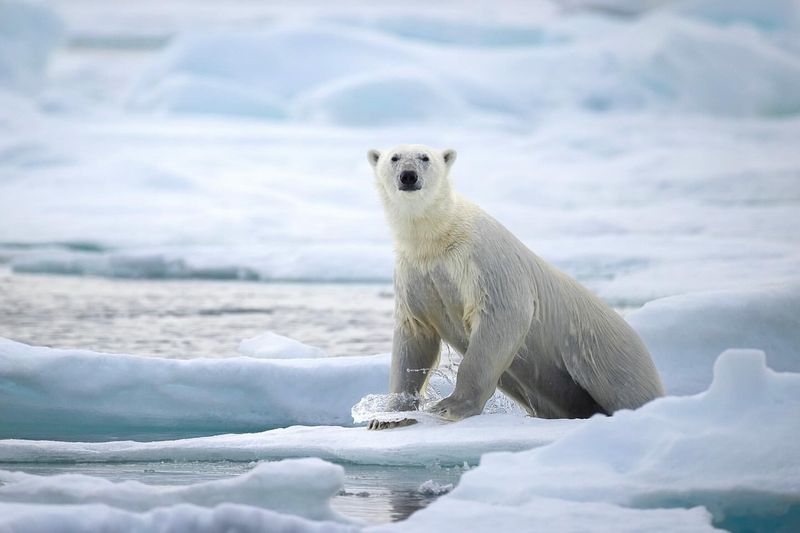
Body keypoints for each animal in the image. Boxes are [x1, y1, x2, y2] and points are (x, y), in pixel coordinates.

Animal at [368, 142, 664, 428]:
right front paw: (386, 417)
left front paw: (449, 407)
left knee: (628, 388)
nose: (408, 176)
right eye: (394, 158)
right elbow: (414, 336)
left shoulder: (481, 260)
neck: (438, 238)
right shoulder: (414, 273)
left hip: (606, 353)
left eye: (424, 157)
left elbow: (504, 314)